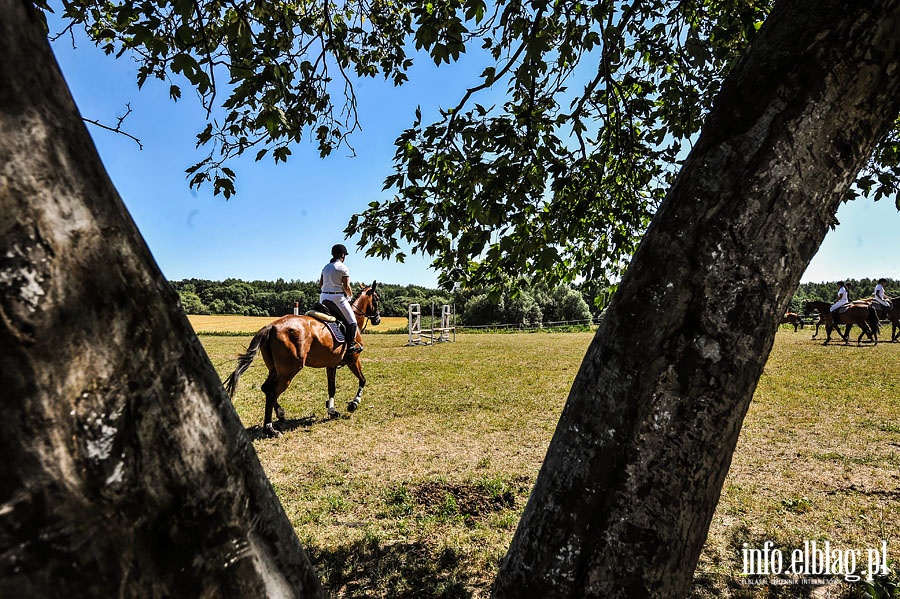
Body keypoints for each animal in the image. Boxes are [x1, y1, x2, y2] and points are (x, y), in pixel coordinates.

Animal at [227, 282, 382, 436]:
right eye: (376, 299)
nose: (377, 319)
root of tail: (271, 326)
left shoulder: (331, 365)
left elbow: (331, 388)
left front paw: (332, 411)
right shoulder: (353, 360)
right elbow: (362, 380)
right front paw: (353, 404)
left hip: (275, 370)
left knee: (266, 388)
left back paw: (280, 414)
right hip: (289, 371)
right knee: (272, 392)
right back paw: (270, 429)